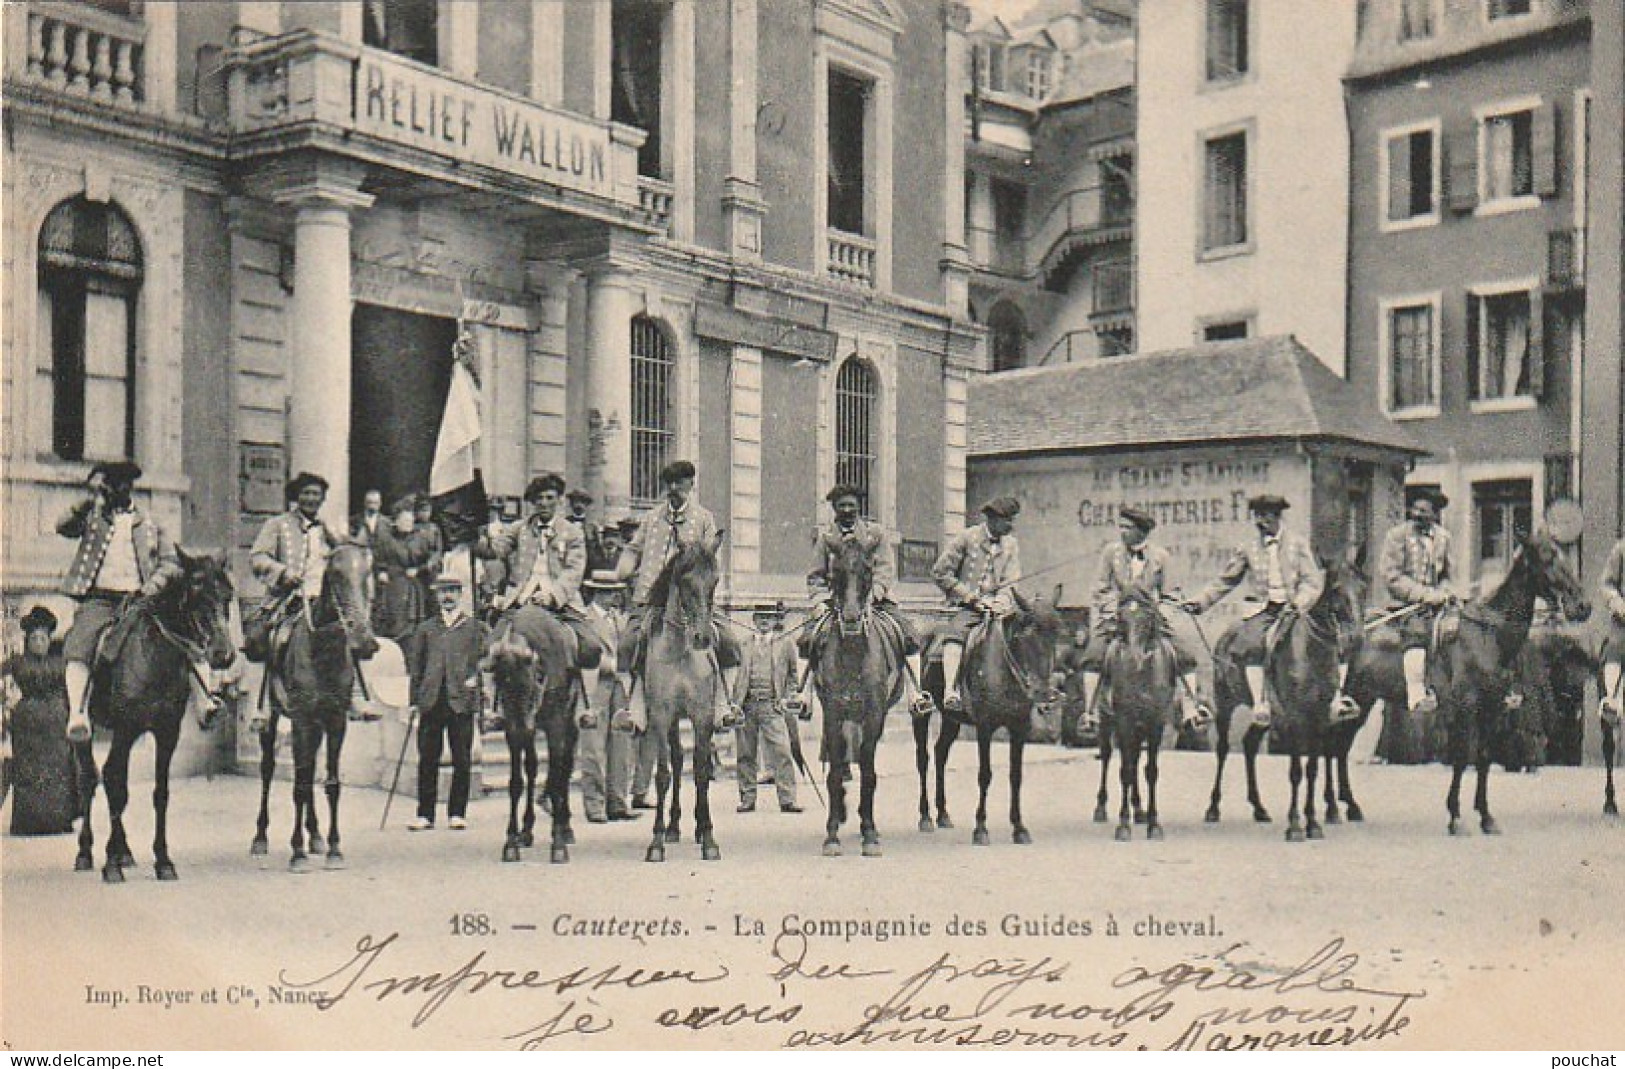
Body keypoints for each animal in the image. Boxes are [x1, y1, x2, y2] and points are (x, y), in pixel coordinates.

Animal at [72, 545, 237, 877]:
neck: (154, 657)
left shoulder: (166, 732)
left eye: (227, 596)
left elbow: (160, 793)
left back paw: (123, 851)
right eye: (197, 594)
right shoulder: (124, 728)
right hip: (91, 730)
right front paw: (110, 864)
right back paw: (86, 852)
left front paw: (162, 860)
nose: (222, 655)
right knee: (91, 779)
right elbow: (116, 786)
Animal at [250, 536, 377, 870]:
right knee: (269, 770)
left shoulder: (335, 722)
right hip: (275, 719)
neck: (323, 650)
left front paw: (333, 849)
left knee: (308, 770)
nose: (365, 641)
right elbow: (300, 784)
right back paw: (260, 838)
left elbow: (329, 783)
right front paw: (297, 853)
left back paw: (316, 836)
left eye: (367, 574)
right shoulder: (301, 721)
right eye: (336, 574)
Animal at [484, 604, 581, 864]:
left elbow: (557, 778)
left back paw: (565, 827)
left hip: (567, 719)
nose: (523, 727)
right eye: (501, 685)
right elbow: (517, 781)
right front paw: (511, 840)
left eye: (532, 682)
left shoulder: (555, 724)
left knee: (564, 766)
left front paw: (558, 844)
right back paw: (526, 831)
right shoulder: (512, 729)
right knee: (533, 768)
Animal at [637, 529, 728, 864]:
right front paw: (656, 841)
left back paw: (698, 827)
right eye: (685, 581)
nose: (702, 638)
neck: (680, 652)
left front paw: (709, 837)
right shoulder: (661, 716)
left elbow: (701, 772)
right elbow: (663, 774)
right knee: (676, 761)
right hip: (674, 720)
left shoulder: (702, 717)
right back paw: (673, 826)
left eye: (714, 581)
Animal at [1098, 588, 1176, 838]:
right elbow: (1125, 770)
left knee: (1135, 759)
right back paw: (1100, 808)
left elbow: (1150, 771)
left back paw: (1139, 810)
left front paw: (1153, 822)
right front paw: (1123, 825)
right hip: (1107, 722)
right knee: (1107, 756)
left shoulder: (1155, 724)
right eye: (1120, 619)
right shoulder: (1125, 721)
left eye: (1149, 617)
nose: (1134, 658)